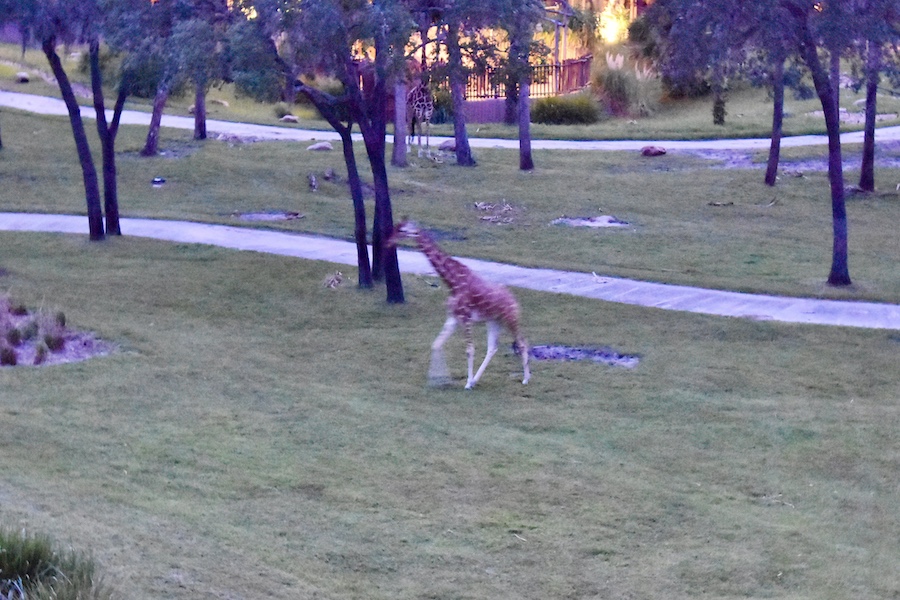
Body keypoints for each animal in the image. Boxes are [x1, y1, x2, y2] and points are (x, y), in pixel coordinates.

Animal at [384, 220, 528, 390]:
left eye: (401, 231)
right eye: (395, 227)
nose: (387, 242)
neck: (452, 282)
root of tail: (515, 301)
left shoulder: (465, 317)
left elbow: (469, 349)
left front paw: (466, 384)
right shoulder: (453, 317)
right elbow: (436, 344)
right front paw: (437, 380)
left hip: (510, 318)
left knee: (522, 343)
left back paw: (526, 379)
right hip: (493, 321)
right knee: (492, 347)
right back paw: (475, 380)